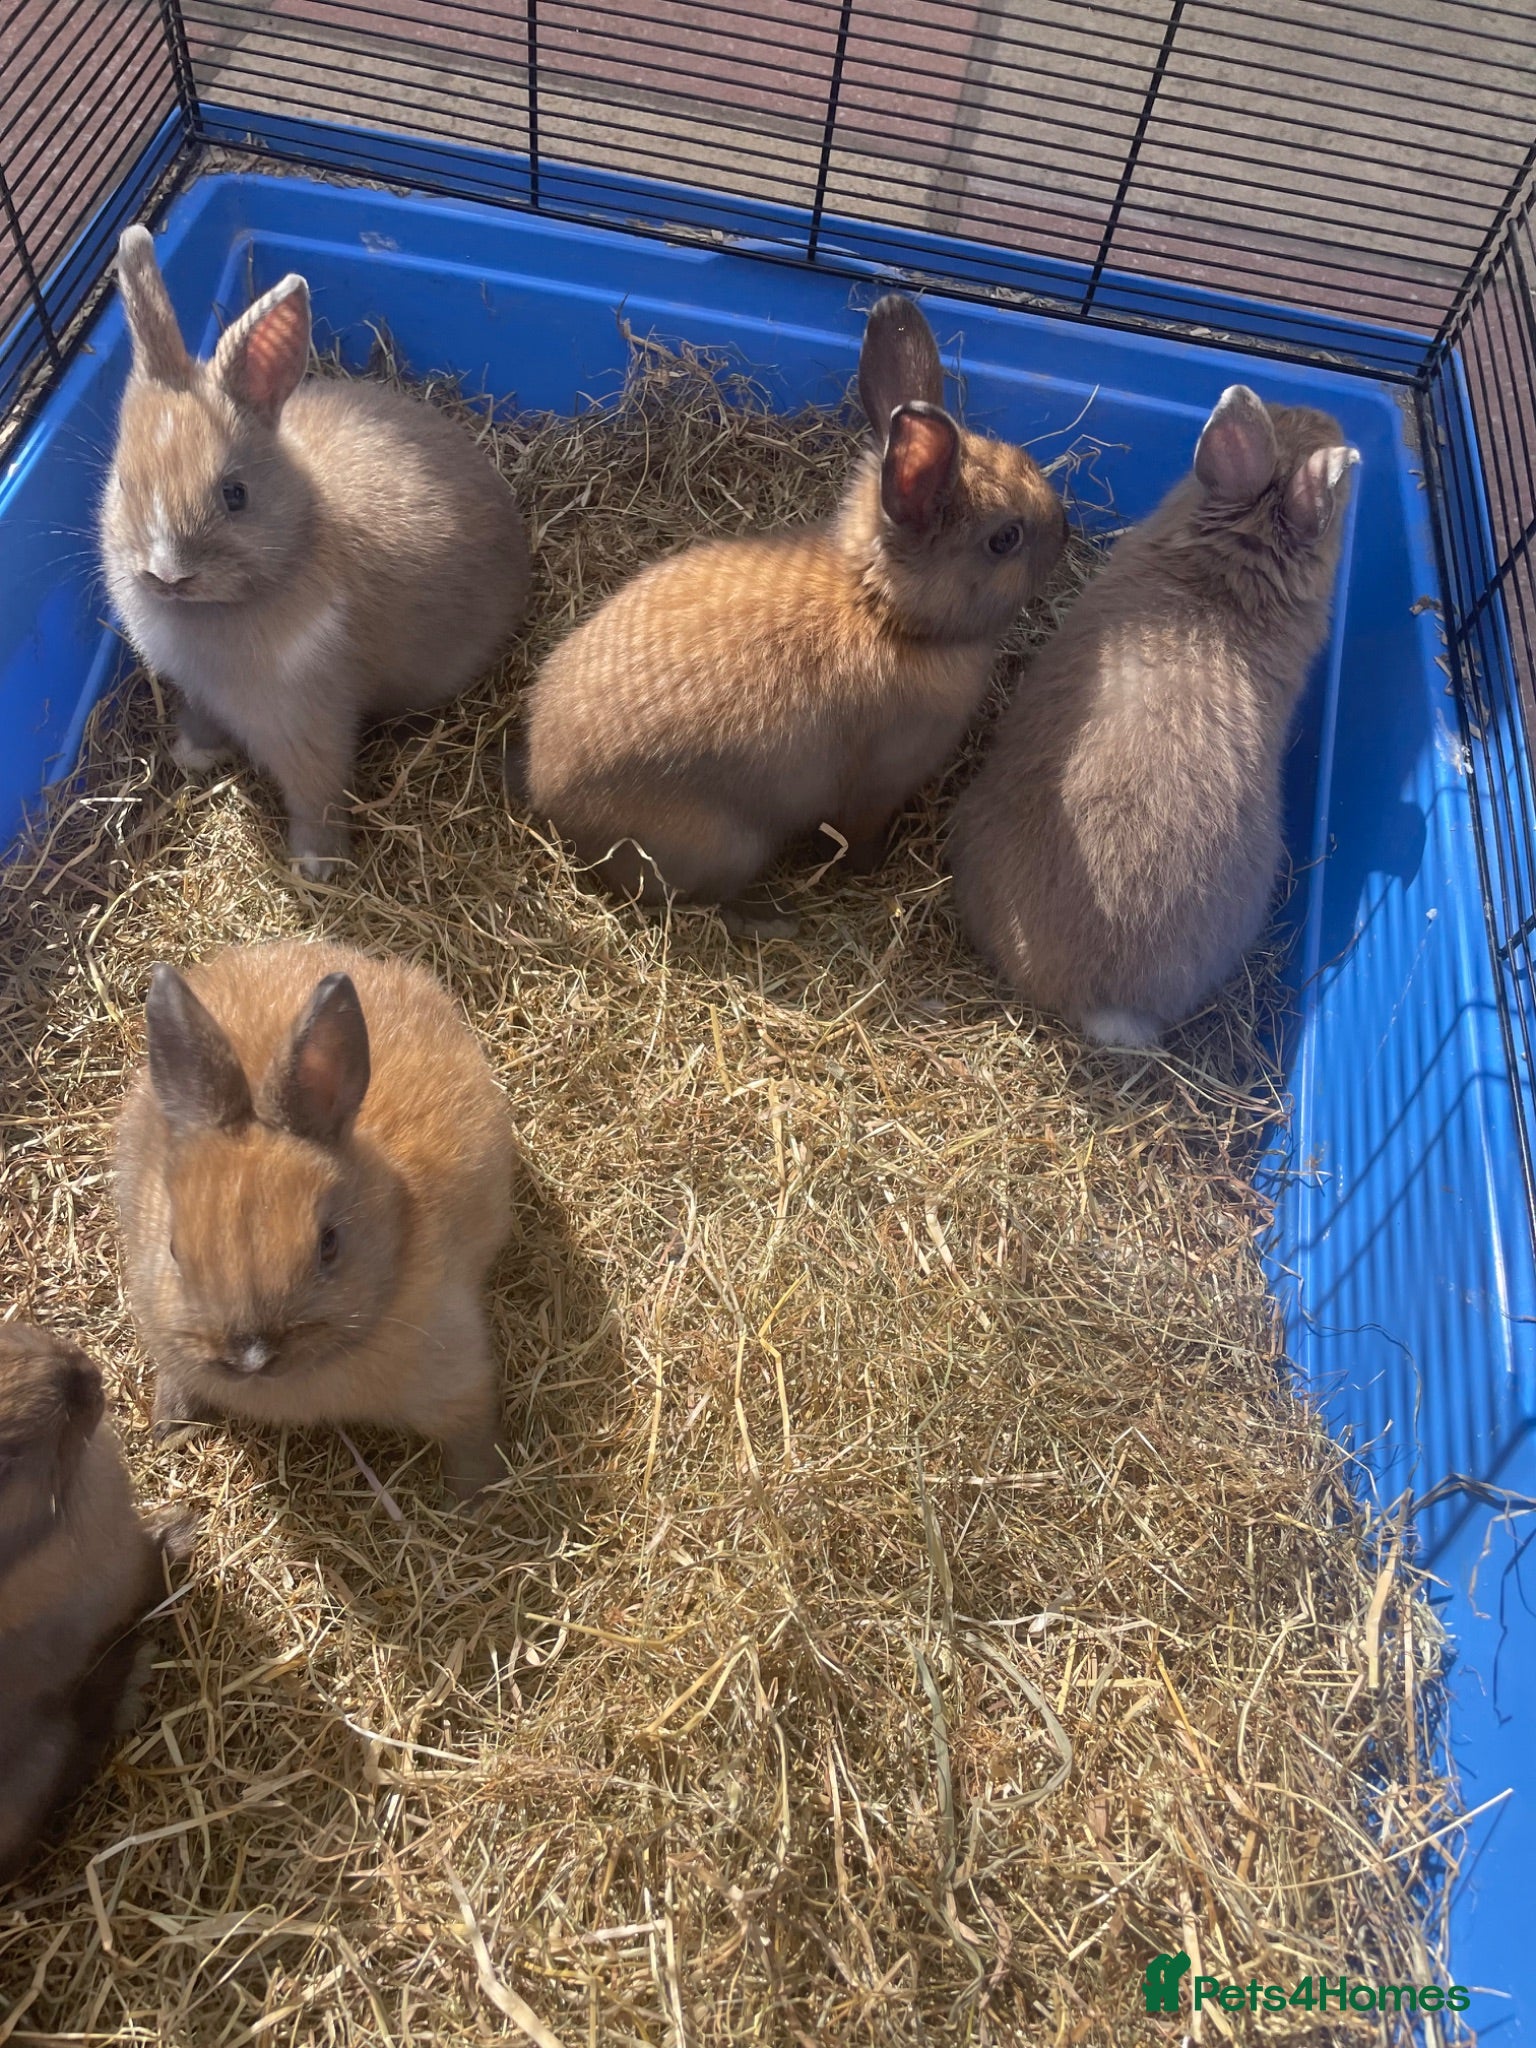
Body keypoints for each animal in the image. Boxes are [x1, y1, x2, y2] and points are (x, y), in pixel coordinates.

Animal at [100, 225, 531, 880]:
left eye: (235, 494)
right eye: (123, 484)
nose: (167, 573)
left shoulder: (310, 726)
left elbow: (316, 793)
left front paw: (315, 865)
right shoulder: (198, 692)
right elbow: (202, 721)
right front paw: (191, 756)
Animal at [113, 938, 517, 1501]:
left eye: (329, 1243)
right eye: (173, 1249)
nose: (251, 1355)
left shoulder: (458, 1380)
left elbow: (472, 1438)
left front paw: (476, 1502)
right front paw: (169, 1429)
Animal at [519, 293, 1066, 931]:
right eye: (1005, 538)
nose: (1065, 529)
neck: (883, 612)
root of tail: (549, 800)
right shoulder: (876, 790)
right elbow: (859, 837)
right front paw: (873, 870)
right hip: (731, 847)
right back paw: (775, 917)